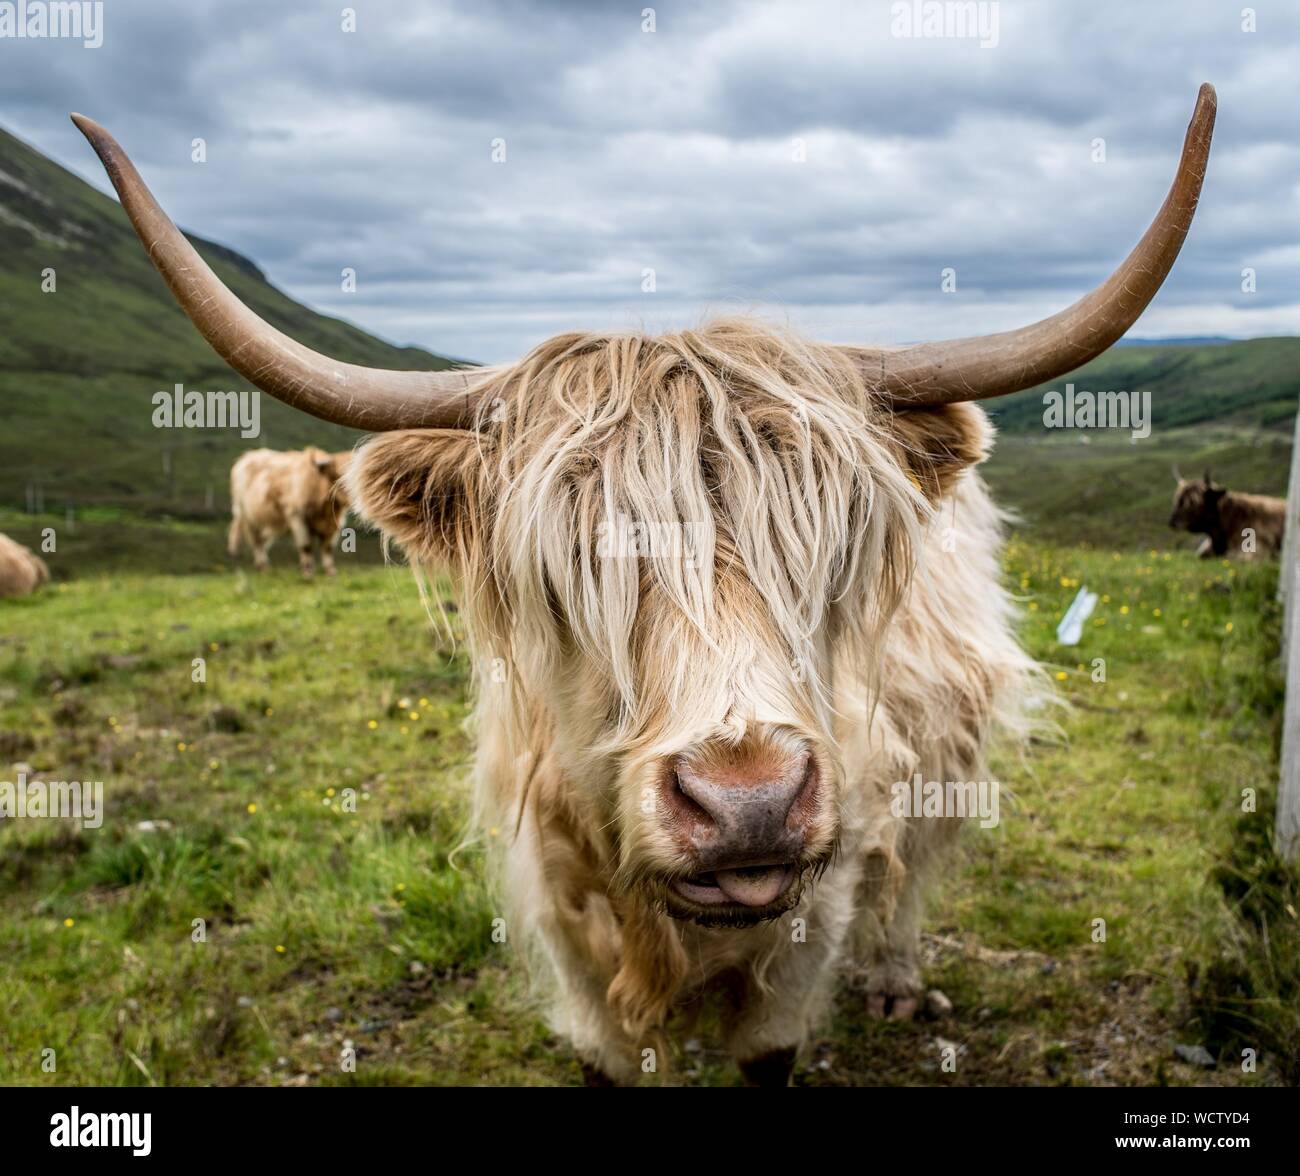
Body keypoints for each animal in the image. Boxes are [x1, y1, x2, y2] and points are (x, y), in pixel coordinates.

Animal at [227, 447, 352, 577]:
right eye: (337, 476)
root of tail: (247, 456)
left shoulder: (333, 525)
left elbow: (327, 548)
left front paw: (330, 572)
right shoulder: (297, 518)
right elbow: (306, 546)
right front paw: (308, 573)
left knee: (262, 541)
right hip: (247, 518)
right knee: (256, 542)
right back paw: (262, 566)